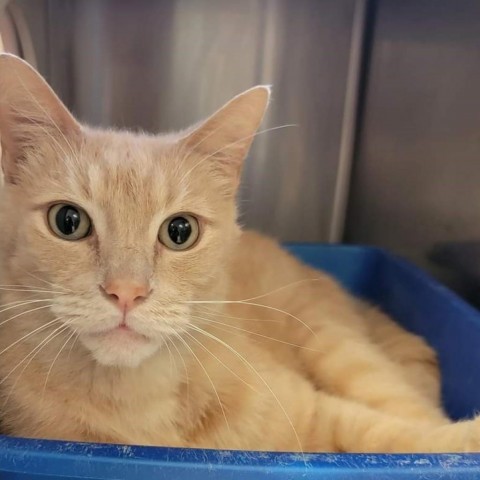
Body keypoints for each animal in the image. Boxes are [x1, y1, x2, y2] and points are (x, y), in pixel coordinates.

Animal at [0, 53, 476, 454]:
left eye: (180, 231)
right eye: (68, 221)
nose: (127, 292)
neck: (142, 396)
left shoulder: (319, 411)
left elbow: (399, 438)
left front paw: (462, 439)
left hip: (339, 348)